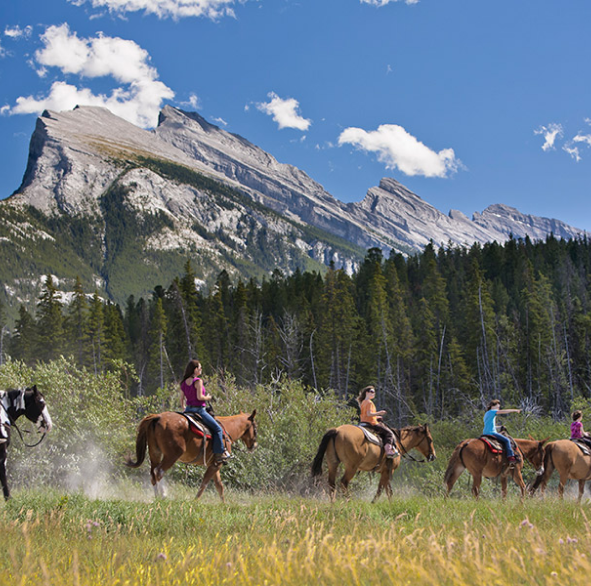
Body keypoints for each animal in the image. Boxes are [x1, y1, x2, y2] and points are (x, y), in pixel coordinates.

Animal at [127, 408, 256, 500]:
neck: (227, 429)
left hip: (155, 453)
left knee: (153, 473)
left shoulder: (214, 463)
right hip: (172, 455)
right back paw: (163, 495)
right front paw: (195, 501)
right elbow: (204, 483)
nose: (254, 445)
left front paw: (223, 504)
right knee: (159, 471)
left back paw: (157, 496)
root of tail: (158, 417)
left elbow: (219, 486)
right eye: (255, 427)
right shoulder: (216, 464)